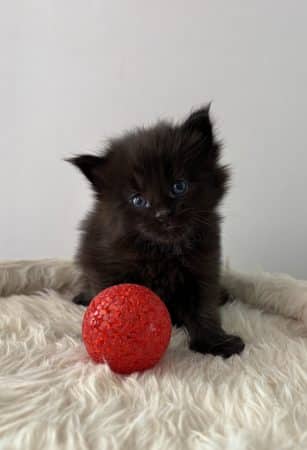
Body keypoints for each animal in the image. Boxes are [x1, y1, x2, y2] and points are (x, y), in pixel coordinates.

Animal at [68, 107, 245, 356]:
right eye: (138, 200)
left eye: (179, 186)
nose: (163, 214)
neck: (164, 252)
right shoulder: (105, 263)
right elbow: (110, 296)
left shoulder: (204, 266)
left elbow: (204, 307)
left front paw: (215, 342)